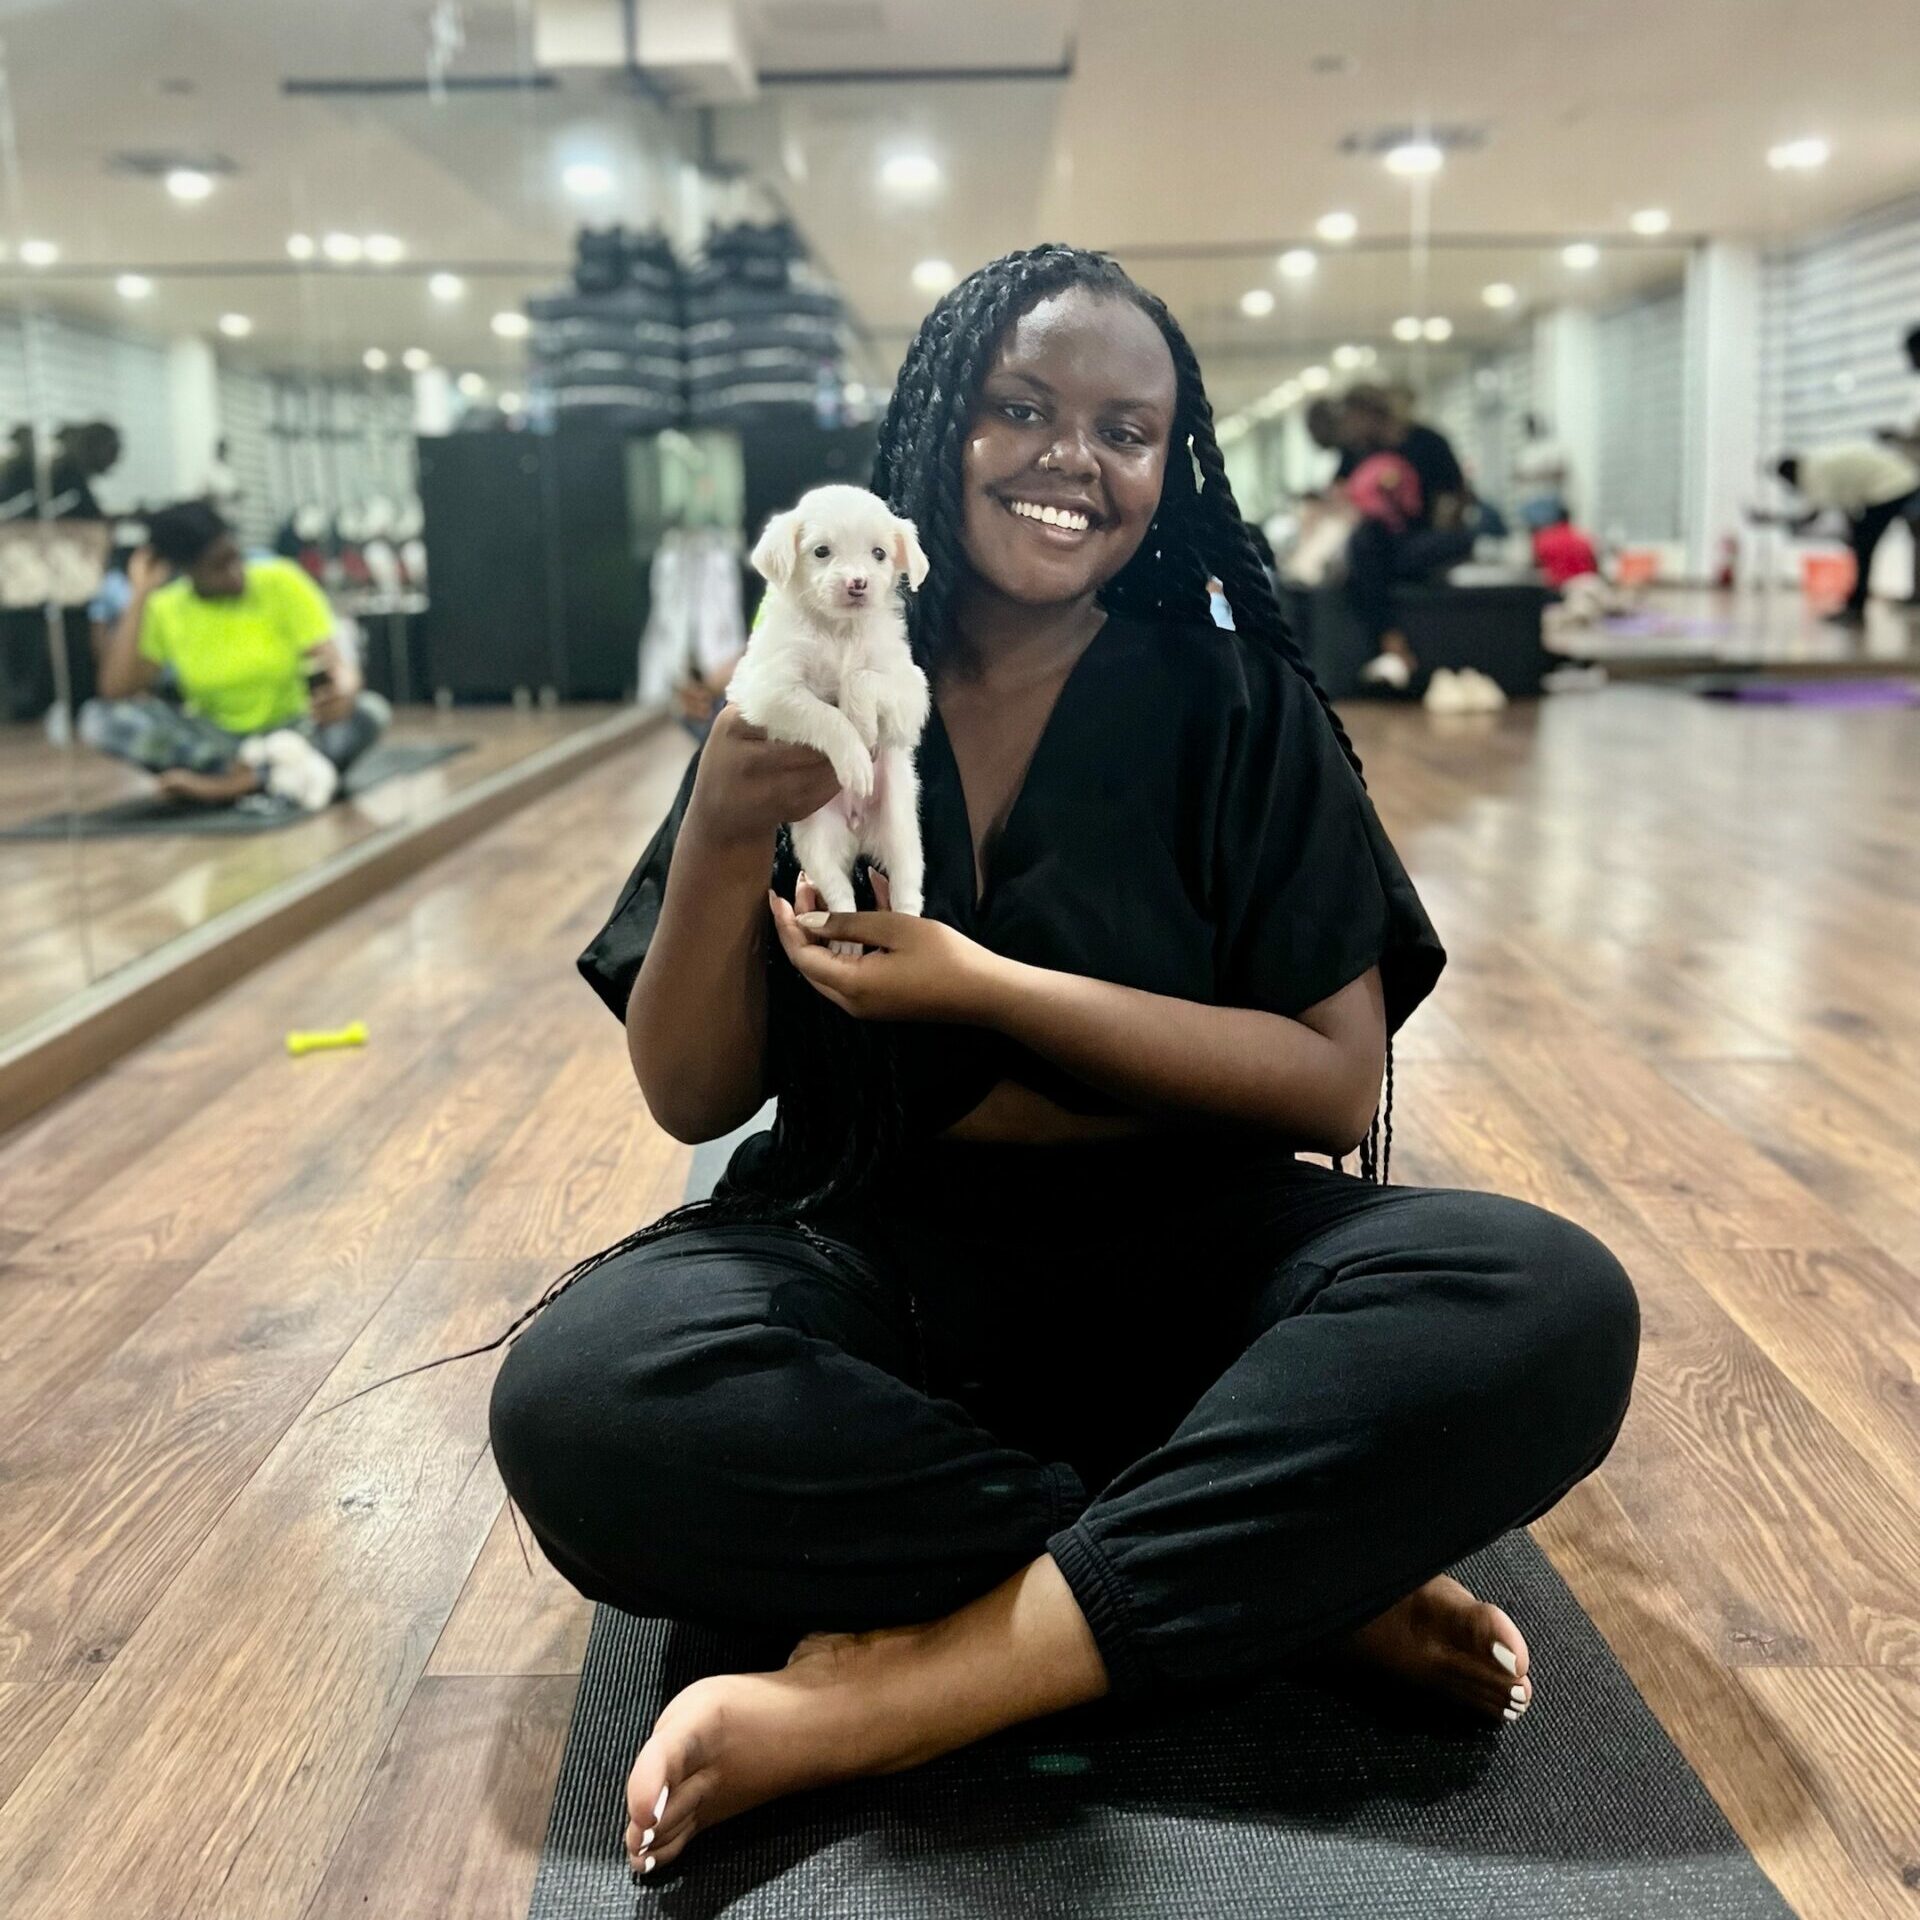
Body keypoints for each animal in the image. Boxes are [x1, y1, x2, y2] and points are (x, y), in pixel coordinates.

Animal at [725, 487, 929, 952]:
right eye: (821, 551)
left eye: (878, 553)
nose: (858, 583)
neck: (839, 631)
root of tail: (858, 828)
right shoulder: (770, 690)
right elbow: (826, 715)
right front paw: (855, 754)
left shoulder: (911, 689)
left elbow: (862, 679)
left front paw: (864, 721)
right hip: (816, 840)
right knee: (839, 892)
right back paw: (845, 939)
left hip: (903, 828)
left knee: (908, 888)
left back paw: (907, 930)